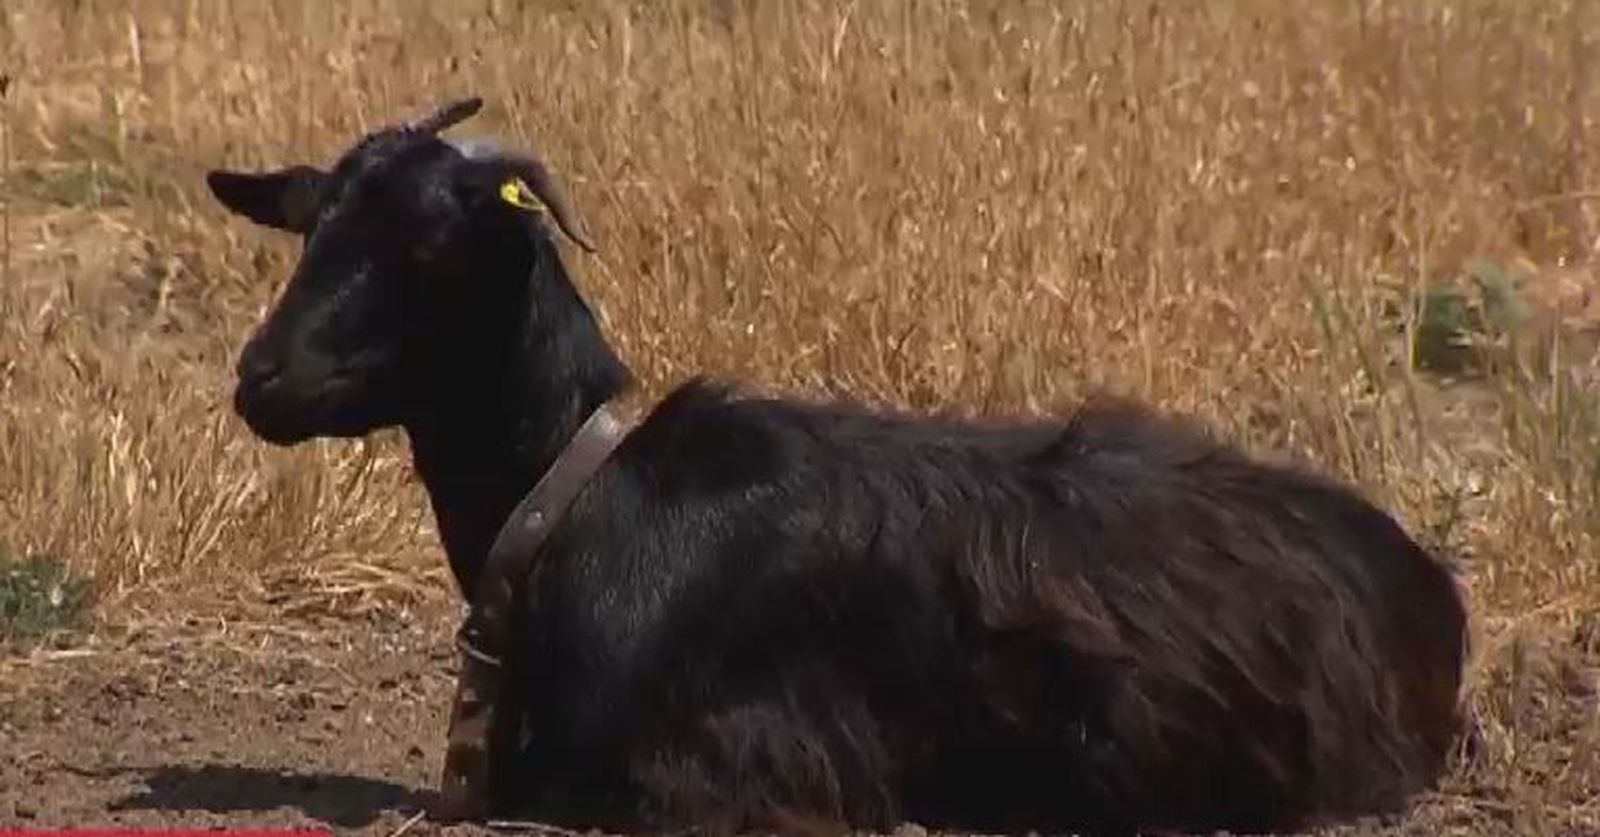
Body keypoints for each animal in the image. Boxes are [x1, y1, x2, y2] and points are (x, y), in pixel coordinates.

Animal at [205, 97, 1469, 836]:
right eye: (311, 226)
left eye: (429, 242)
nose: (263, 378)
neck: (582, 498)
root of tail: (1416, 584)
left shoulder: (738, 770)